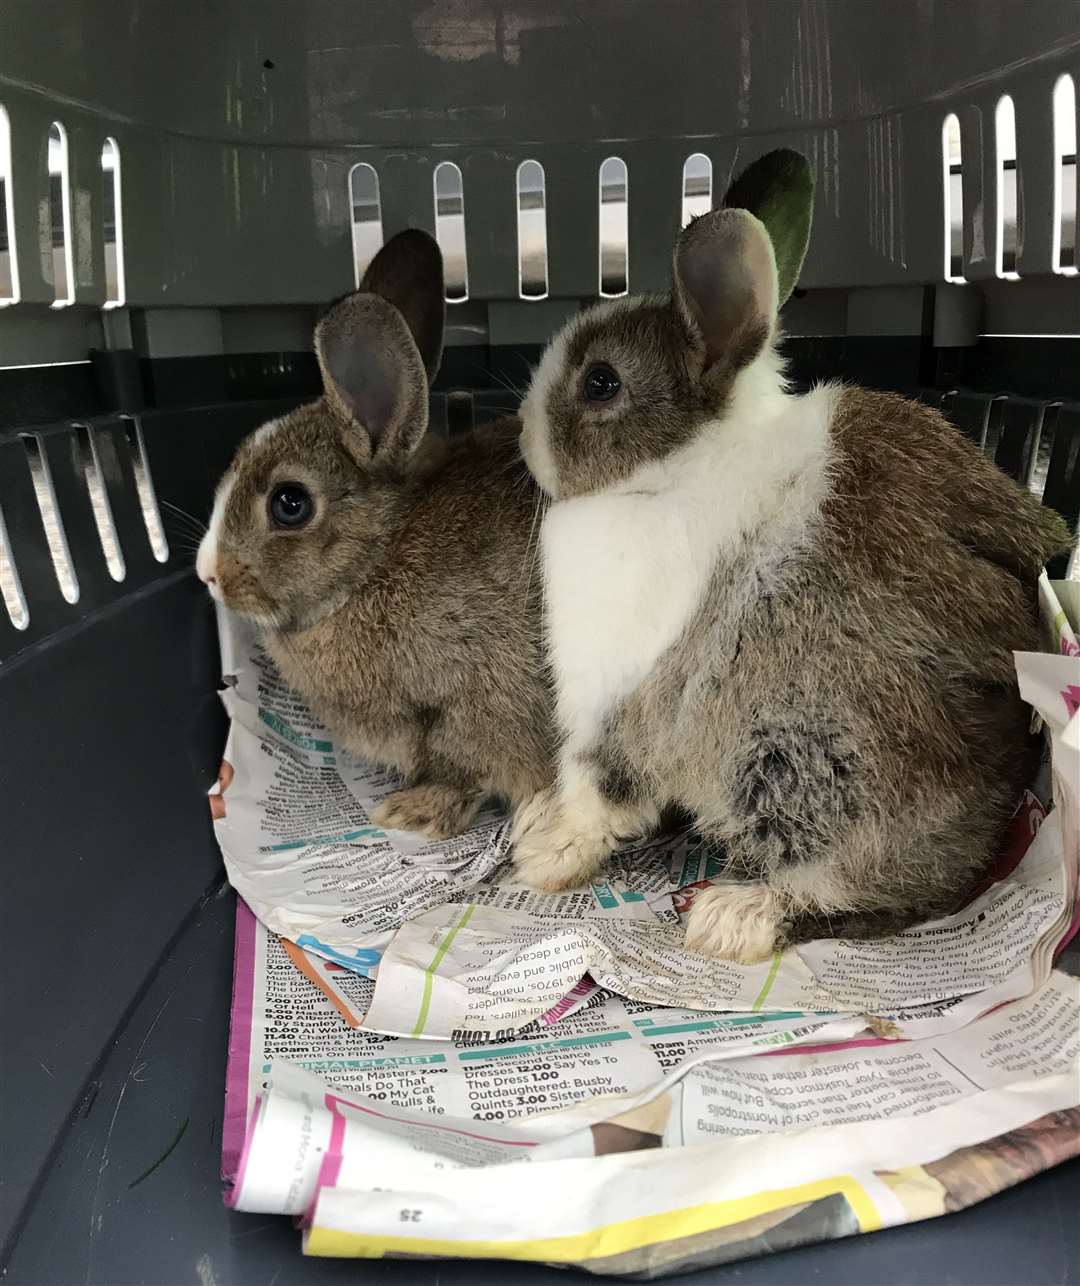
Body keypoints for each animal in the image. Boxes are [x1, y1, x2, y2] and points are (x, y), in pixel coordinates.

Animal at [195, 227, 552, 838]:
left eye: (290, 504)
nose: (208, 575)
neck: (378, 558)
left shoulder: (480, 702)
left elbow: (467, 769)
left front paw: (415, 813)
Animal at [511, 150, 1069, 961]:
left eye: (601, 382)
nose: (523, 437)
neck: (673, 470)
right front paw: (534, 825)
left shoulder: (613, 703)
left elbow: (596, 795)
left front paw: (544, 855)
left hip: (807, 758)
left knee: (865, 883)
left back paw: (734, 917)